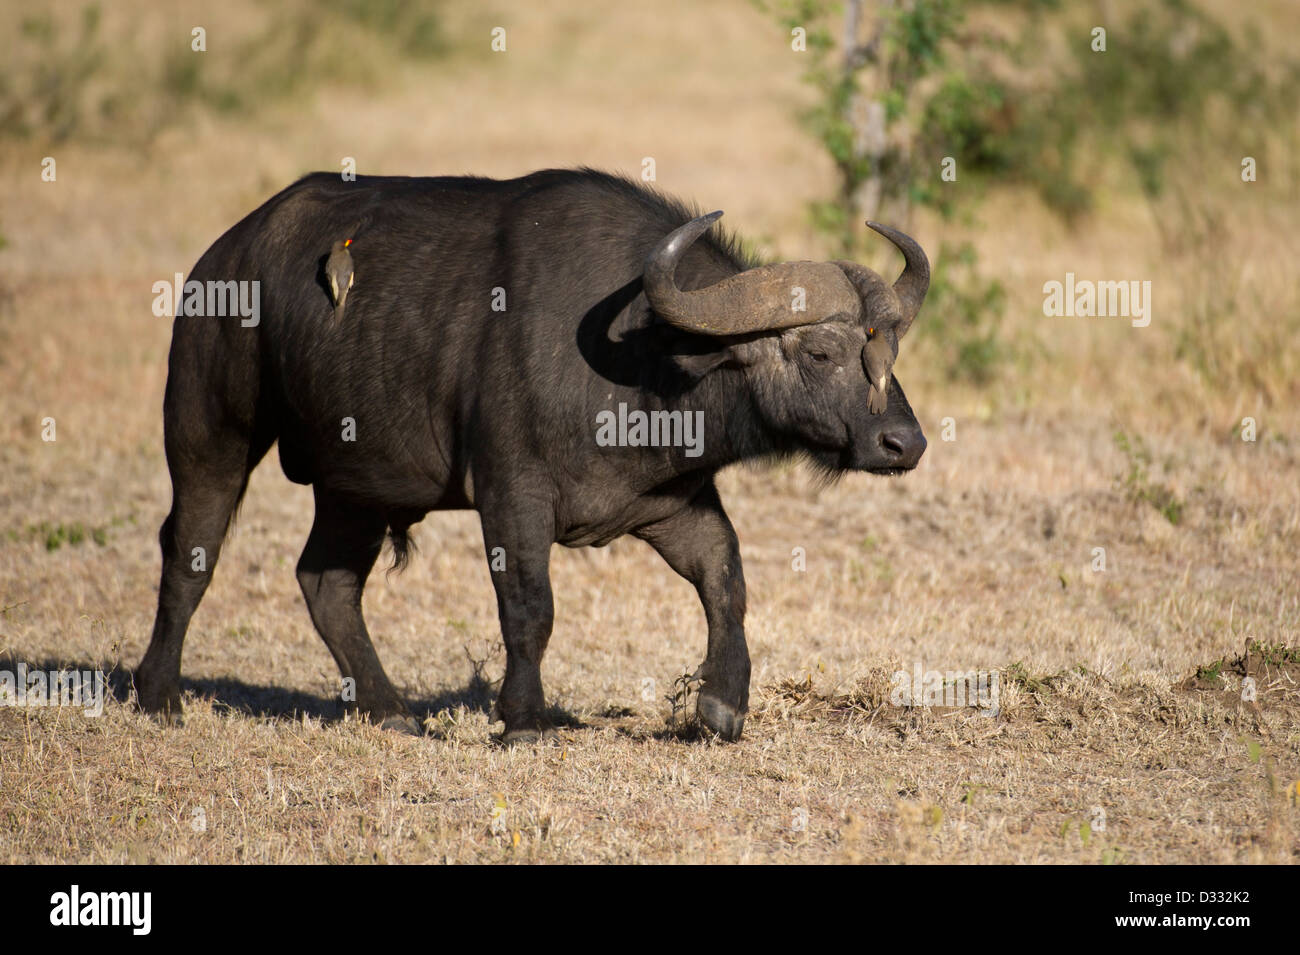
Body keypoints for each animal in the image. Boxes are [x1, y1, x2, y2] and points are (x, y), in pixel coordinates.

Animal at [136, 168, 929, 742]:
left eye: (888, 349)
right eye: (820, 351)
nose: (905, 443)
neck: (648, 359)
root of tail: (225, 254)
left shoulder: (671, 501)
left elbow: (724, 580)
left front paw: (721, 705)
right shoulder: (510, 494)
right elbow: (529, 606)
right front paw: (522, 720)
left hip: (355, 483)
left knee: (326, 583)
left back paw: (389, 710)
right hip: (210, 433)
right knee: (190, 549)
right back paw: (160, 694)